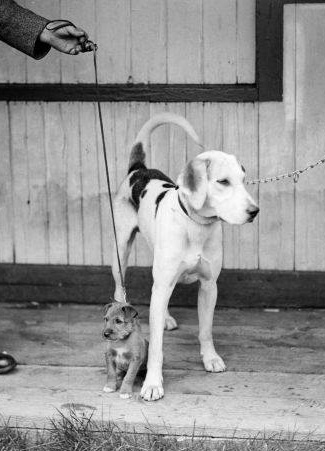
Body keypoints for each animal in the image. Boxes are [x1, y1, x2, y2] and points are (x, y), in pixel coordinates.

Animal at [111, 113, 258, 402]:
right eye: (223, 182)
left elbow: (206, 330)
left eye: (243, 180)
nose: (254, 211)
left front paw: (210, 358)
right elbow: (156, 346)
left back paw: (166, 317)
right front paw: (152, 384)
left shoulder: (209, 286)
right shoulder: (164, 282)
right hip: (120, 251)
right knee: (121, 289)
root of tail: (139, 169)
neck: (196, 225)